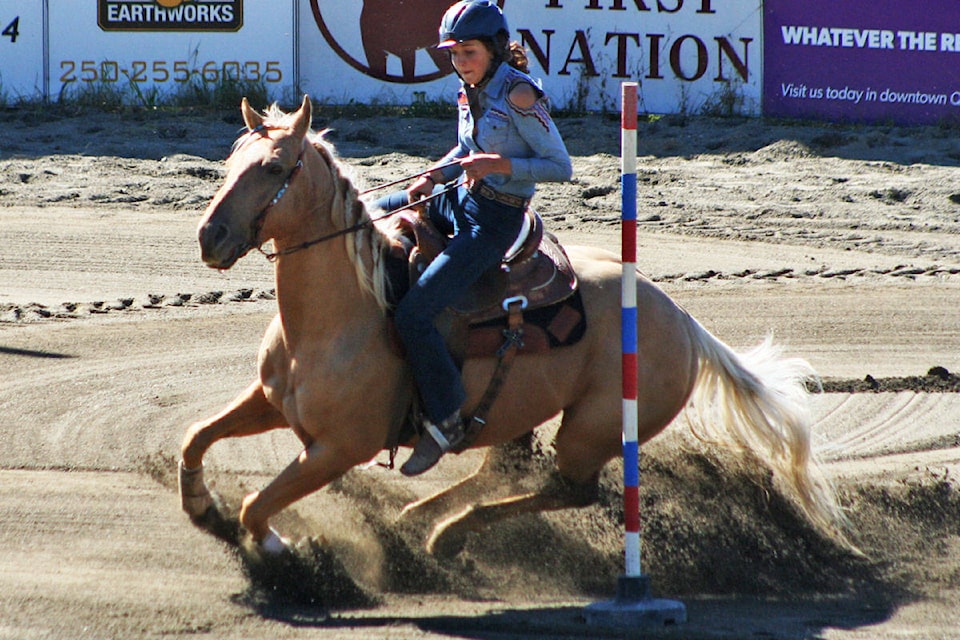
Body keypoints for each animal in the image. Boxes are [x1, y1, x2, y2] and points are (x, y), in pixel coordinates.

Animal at [180, 96, 848, 560]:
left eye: (273, 167)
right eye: (230, 161)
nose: (210, 236)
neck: (338, 319)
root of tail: (683, 322)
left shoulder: (339, 449)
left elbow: (257, 504)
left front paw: (276, 546)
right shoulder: (270, 400)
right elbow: (195, 436)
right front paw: (199, 505)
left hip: (592, 429)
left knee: (568, 489)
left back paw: (446, 534)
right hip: (515, 408)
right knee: (503, 469)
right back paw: (418, 519)